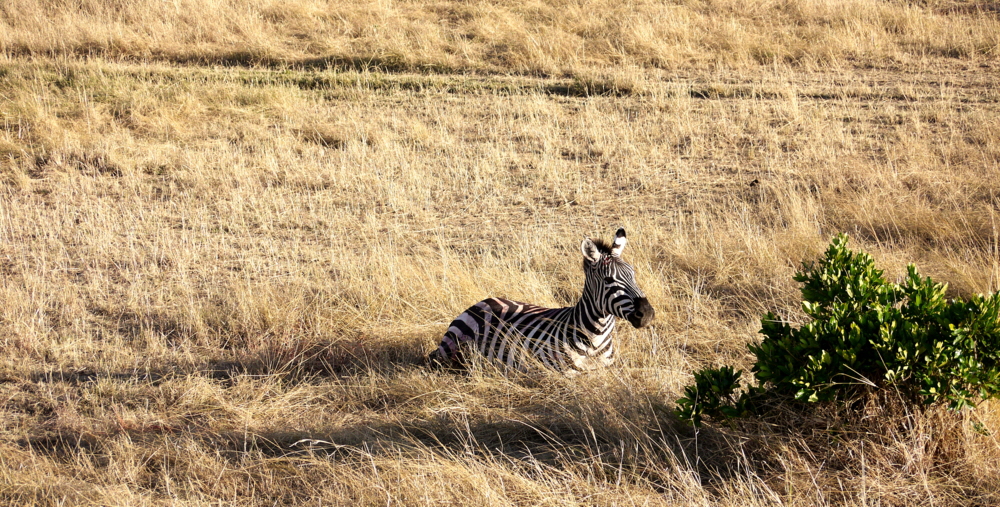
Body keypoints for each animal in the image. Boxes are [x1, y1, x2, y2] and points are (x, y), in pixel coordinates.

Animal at [430, 229, 656, 374]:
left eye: (633, 274)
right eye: (608, 280)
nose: (646, 313)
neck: (595, 338)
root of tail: (485, 300)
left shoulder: (608, 371)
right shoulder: (562, 374)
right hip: (451, 348)